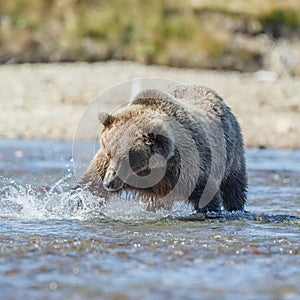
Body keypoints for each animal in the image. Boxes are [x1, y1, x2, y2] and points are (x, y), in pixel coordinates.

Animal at [77, 83, 246, 212]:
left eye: (127, 158)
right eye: (109, 153)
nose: (109, 183)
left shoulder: (187, 168)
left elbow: (206, 196)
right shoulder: (105, 166)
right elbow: (90, 186)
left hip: (231, 150)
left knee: (234, 186)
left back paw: (236, 208)